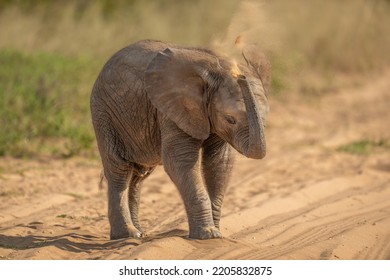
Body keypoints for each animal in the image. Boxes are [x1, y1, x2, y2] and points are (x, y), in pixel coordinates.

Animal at [90, 39, 272, 240]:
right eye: (230, 119)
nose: (242, 77)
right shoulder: (171, 108)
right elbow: (180, 161)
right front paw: (208, 235)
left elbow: (219, 163)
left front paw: (216, 233)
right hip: (103, 112)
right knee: (119, 169)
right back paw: (127, 234)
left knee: (138, 174)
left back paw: (139, 232)